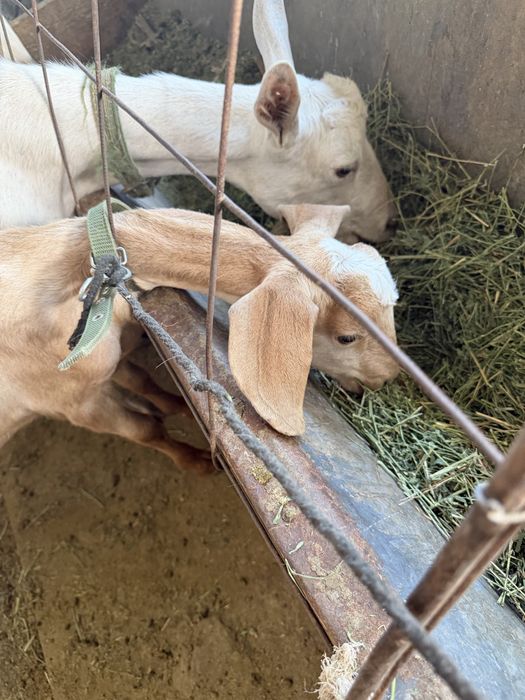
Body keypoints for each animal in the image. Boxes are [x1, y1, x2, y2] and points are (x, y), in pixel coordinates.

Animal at [0, 204, 399, 468]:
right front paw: (199, 463)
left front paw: (174, 405)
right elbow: (144, 430)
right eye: (347, 337)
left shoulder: (106, 360)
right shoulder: (72, 402)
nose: (387, 377)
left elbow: (141, 380)